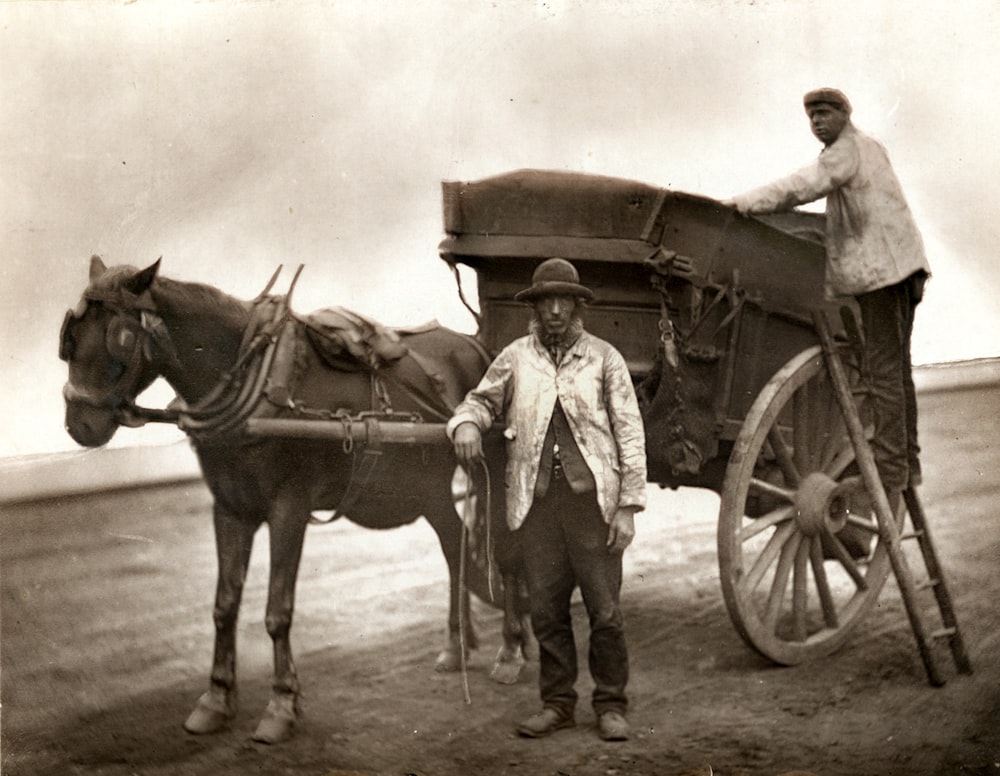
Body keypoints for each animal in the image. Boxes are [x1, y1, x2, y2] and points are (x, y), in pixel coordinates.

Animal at [59, 256, 532, 744]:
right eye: (70, 339)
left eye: (119, 336)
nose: (79, 423)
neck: (254, 377)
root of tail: (478, 346)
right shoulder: (229, 508)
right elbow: (224, 606)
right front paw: (215, 699)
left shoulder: (290, 508)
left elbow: (277, 611)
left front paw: (282, 705)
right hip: (429, 486)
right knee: (455, 545)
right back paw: (456, 647)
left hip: (491, 469)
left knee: (507, 552)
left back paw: (511, 649)